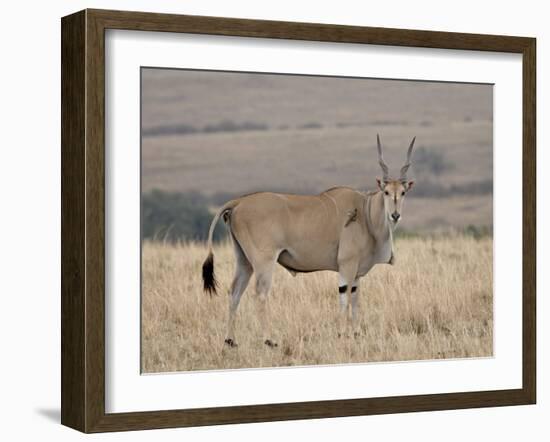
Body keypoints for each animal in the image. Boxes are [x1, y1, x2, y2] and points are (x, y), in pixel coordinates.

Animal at [203, 135, 418, 348]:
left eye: (403, 192)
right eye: (386, 192)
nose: (395, 215)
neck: (365, 212)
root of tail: (238, 202)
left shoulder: (356, 273)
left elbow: (356, 300)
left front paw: (357, 334)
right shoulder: (347, 266)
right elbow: (344, 298)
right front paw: (341, 334)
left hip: (243, 261)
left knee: (234, 293)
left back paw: (230, 340)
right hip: (264, 261)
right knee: (260, 294)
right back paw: (269, 340)